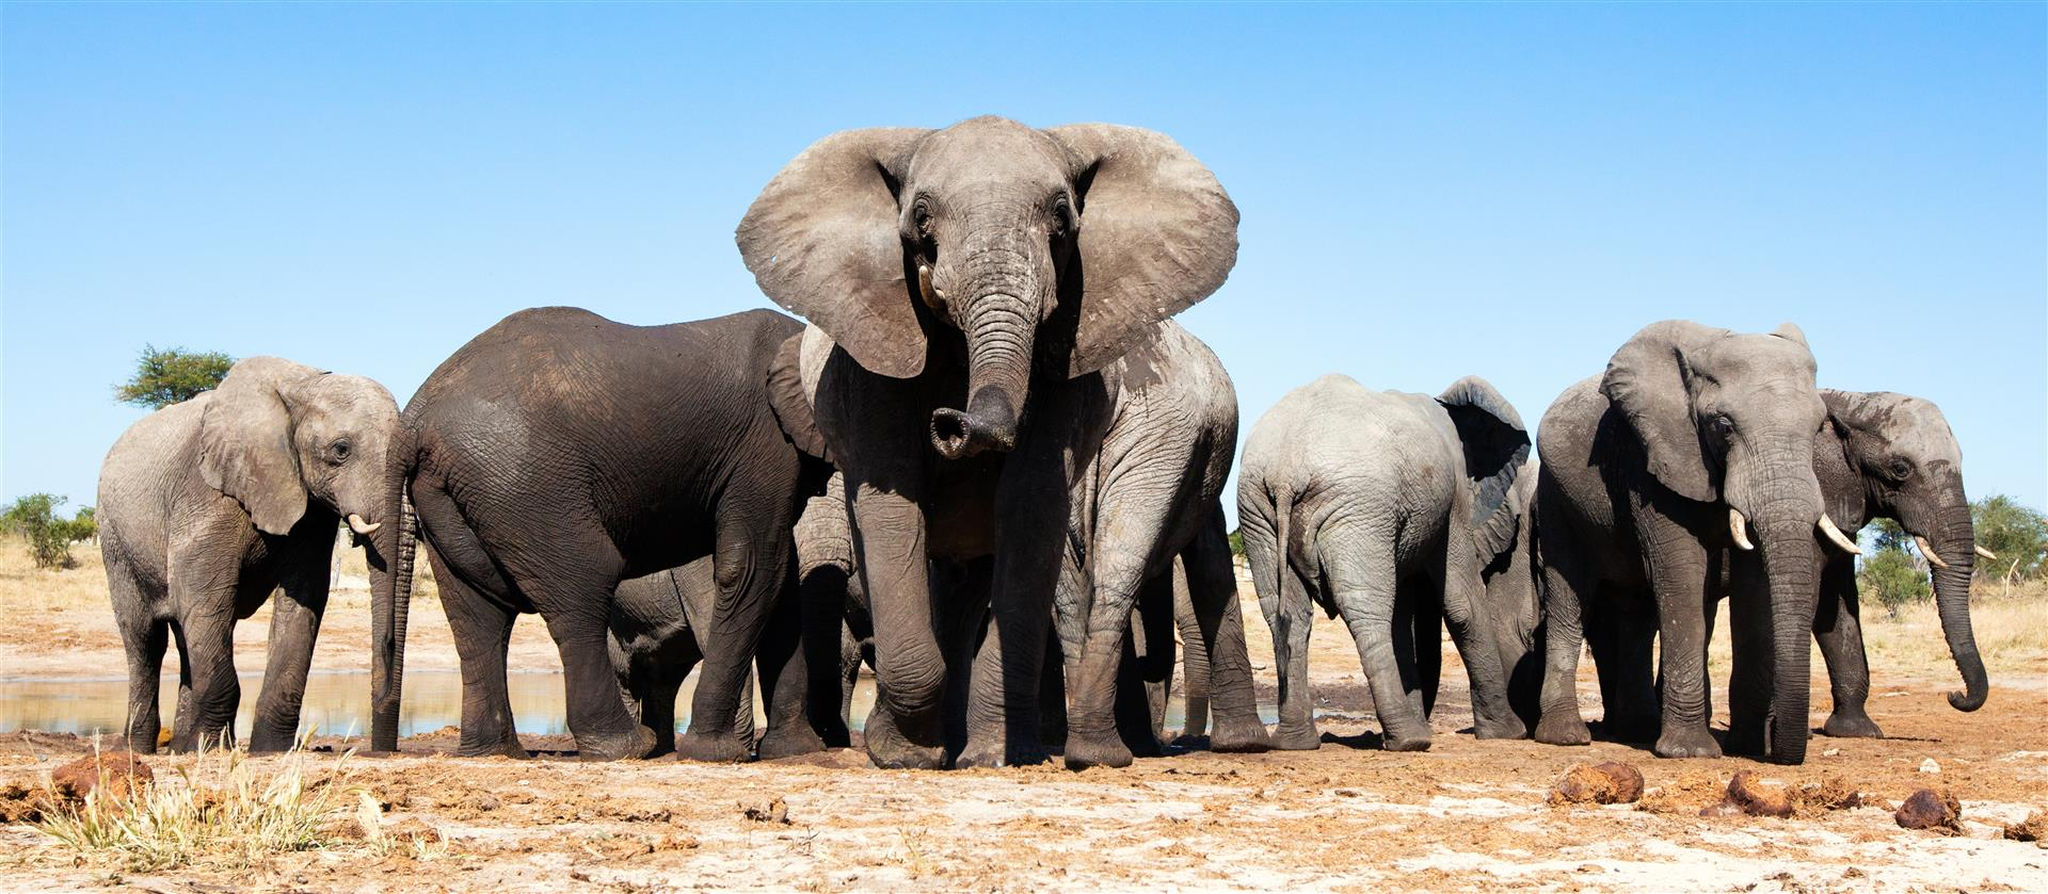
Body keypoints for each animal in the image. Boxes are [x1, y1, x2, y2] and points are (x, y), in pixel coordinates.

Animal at [99, 355, 401, 752]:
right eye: (341, 450)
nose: (383, 748)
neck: (302, 387)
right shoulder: (206, 494)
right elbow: (205, 596)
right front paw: (210, 747)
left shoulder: (310, 508)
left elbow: (303, 599)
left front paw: (269, 750)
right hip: (114, 538)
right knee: (146, 639)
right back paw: (141, 748)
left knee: (186, 634)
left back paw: (182, 747)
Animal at [376, 306, 831, 761]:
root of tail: (413, 420)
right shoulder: (765, 443)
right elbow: (752, 567)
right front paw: (716, 753)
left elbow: (782, 582)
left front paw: (797, 750)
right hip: (524, 482)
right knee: (582, 589)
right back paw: (628, 746)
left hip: (455, 492)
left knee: (477, 614)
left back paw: (495, 752)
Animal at [745, 115, 1261, 765]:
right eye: (920, 217)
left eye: (1063, 218)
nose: (951, 422)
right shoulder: (869, 357)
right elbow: (893, 504)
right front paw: (905, 753)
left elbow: (1030, 504)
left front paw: (987, 754)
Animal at [1228, 372, 1540, 748]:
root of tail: (1287, 471)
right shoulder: (1454, 502)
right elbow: (1461, 605)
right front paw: (1508, 733)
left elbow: (1402, 616)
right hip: (1356, 509)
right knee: (1366, 608)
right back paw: (1410, 740)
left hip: (1259, 510)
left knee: (1287, 613)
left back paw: (1295, 742)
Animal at [1540, 317, 1859, 761]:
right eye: (1724, 427)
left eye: (1818, 429)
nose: (1780, 750)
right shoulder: (1653, 460)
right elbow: (1682, 575)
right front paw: (1690, 752)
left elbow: (1754, 588)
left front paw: (1748, 746)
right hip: (1555, 498)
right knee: (1569, 597)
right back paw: (1566, 736)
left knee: (1636, 613)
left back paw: (1639, 729)